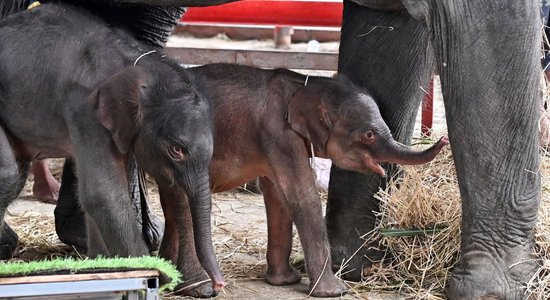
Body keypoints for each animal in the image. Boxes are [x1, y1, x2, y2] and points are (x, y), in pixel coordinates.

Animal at [162, 63, 450, 298]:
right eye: (369, 134)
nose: (444, 140)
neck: (305, 84)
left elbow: (277, 195)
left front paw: (285, 281)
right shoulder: (278, 132)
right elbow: (301, 194)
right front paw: (335, 292)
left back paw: (165, 275)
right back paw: (198, 288)